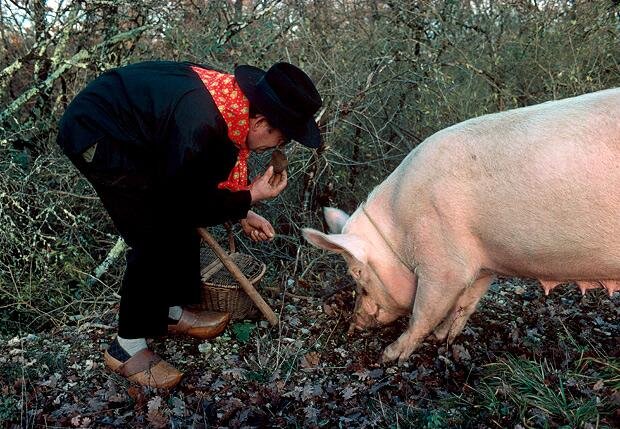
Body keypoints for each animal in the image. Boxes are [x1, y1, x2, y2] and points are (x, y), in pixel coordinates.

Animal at [302, 88, 620, 362]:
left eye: (357, 274)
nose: (352, 326)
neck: (399, 234)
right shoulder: (481, 265)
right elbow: (466, 304)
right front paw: (442, 340)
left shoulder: (443, 264)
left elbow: (424, 311)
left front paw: (389, 356)